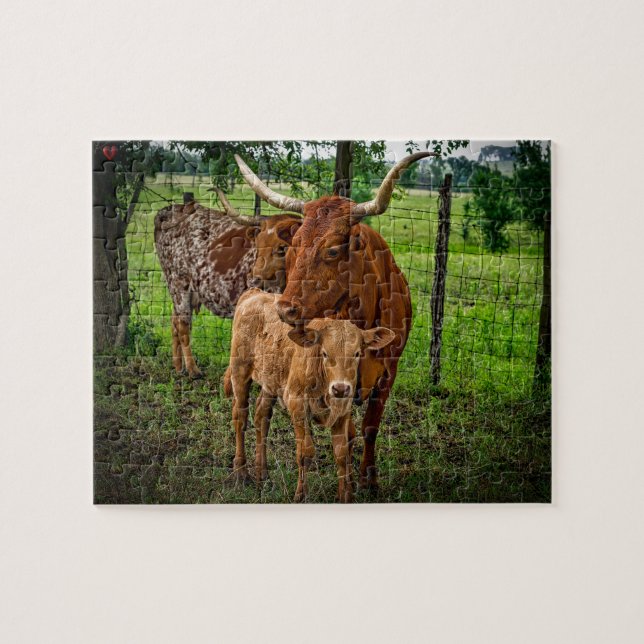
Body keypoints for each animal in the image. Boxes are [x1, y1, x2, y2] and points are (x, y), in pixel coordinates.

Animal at [154, 190, 302, 377]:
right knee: (183, 324)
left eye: (282, 247)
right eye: (258, 245)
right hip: (179, 283)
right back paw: (193, 370)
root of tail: (170, 210)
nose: (254, 279)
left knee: (175, 321)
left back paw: (179, 367)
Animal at [224, 289, 395, 502]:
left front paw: (345, 497)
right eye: (324, 353)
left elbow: (341, 454)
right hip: (239, 372)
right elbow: (305, 452)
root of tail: (254, 293)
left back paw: (263, 474)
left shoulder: (343, 411)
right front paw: (301, 495)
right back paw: (241, 473)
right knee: (240, 418)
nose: (340, 388)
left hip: (271, 381)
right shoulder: (297, 405)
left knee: (261, 417)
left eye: (357, 354)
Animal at [234, 151, 434, 491]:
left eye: (332, 250)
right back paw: (244, 470)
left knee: (262, 409)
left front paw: (369, 480)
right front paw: (349, 481)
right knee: (244, 411)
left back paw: (261, 471)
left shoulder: (388, 372)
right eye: (293, 247)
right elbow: (349, 433)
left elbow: (370, 427)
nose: (285, 308)